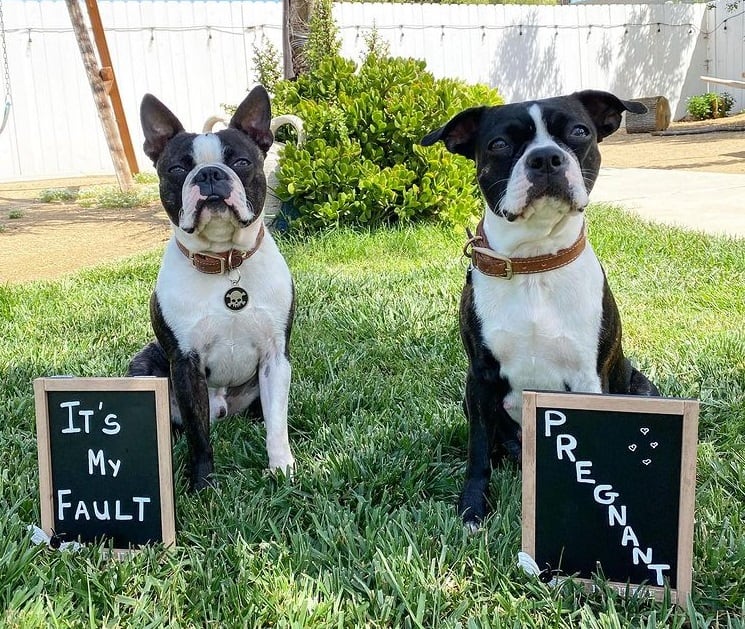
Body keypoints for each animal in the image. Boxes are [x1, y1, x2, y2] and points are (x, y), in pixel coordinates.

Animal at [128, 83, 294, 488]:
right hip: (144, 367)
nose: (209, 174)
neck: (224, 264)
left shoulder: (275, 357)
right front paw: (202, 483)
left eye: (242, 162)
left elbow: (277, 424)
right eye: (177, 168)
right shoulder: (185, 363)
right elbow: (198, 434)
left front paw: (281, 466)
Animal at [422, 89, 660, 528]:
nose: (546, 157)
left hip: (642, 389)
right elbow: (477, 452)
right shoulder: (479, 379)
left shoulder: (588, 378)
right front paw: (473, 507)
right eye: (499, 144)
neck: (533, 260)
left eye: (579, 132)